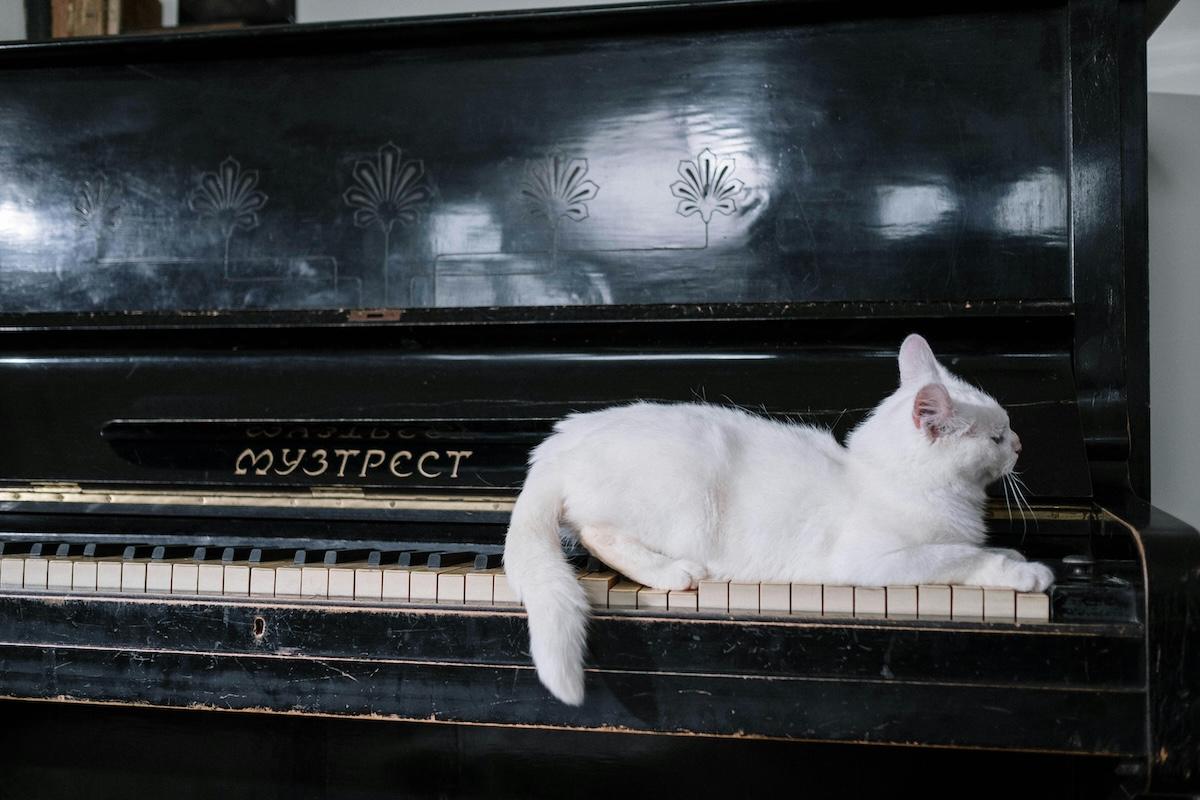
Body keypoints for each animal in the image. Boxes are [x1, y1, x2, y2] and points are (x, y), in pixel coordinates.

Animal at [501, 335, 1056, 705]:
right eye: (997, 437)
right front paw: (1023, 573)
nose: (1021, 444)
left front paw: (1013, 555)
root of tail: (555, 445)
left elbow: (979, 548)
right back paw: (672, 572)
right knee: (598, 533)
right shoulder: (878, 561)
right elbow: (960, 556)